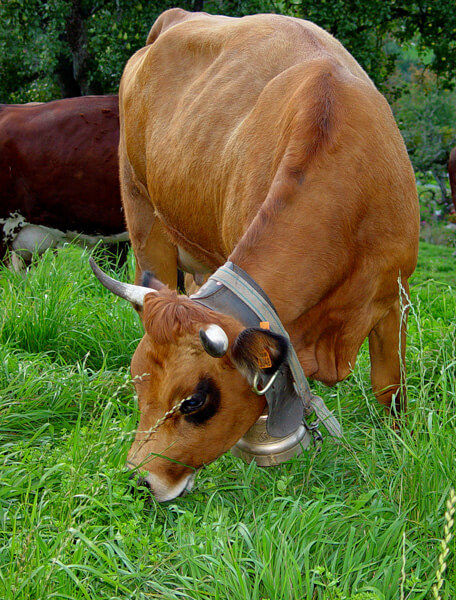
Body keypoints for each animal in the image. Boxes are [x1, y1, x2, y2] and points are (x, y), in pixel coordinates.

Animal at [90, 9, 420, 502]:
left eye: (194, 401)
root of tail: (178, 17)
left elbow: (390, 389)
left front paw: (399, 446)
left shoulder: (395, 298)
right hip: (142, 213)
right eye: (136, 382)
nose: (140, 481)